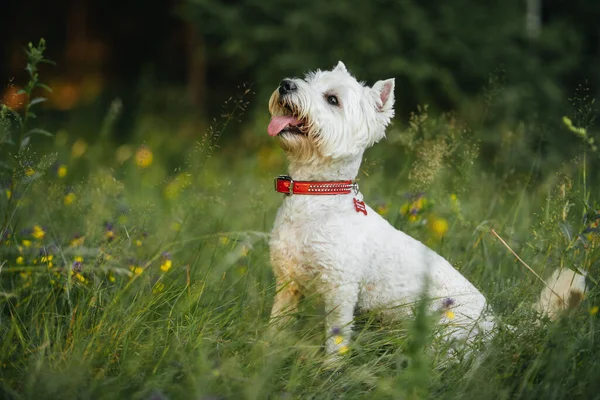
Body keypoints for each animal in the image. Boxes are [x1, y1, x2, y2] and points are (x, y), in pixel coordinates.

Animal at [268, 61, 584, 356]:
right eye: (308, 80)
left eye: (332, 99)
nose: (285, 84)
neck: (317, 195)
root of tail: (497, 325)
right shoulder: (287, 283)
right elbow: (276, 325)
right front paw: (268, 352)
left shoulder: (340, 293)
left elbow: (336, 344)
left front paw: (330, 371)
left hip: (446, 339)